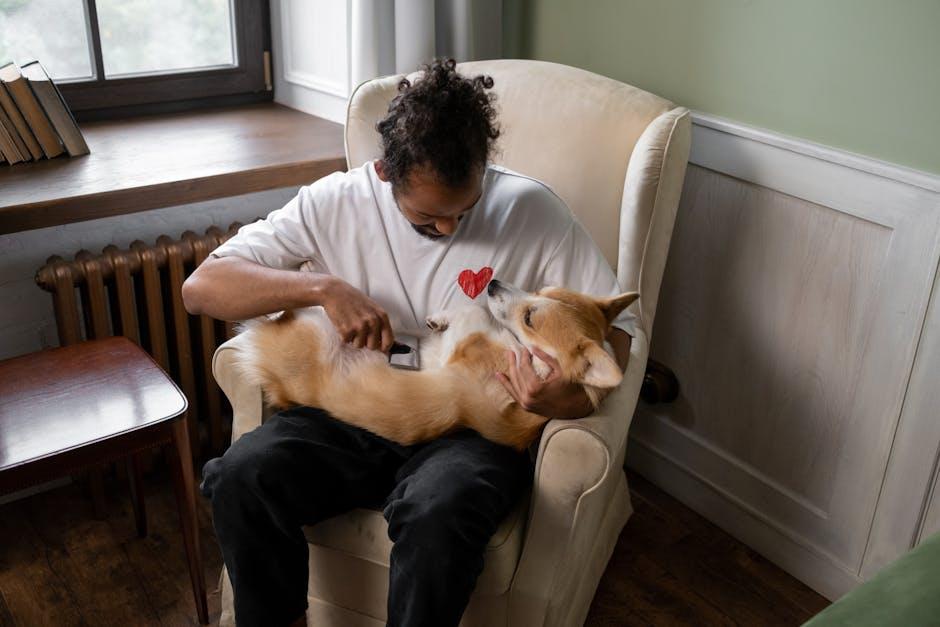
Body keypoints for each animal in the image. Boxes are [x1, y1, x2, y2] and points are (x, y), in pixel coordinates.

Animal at [233, 280, 640, 452]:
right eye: (540, 290)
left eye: (530, 318)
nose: (493, 282)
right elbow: (471, 311)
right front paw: (439, 318)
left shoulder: (465, 347)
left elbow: (475, 311)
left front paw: (443, 316)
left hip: (313, 327)